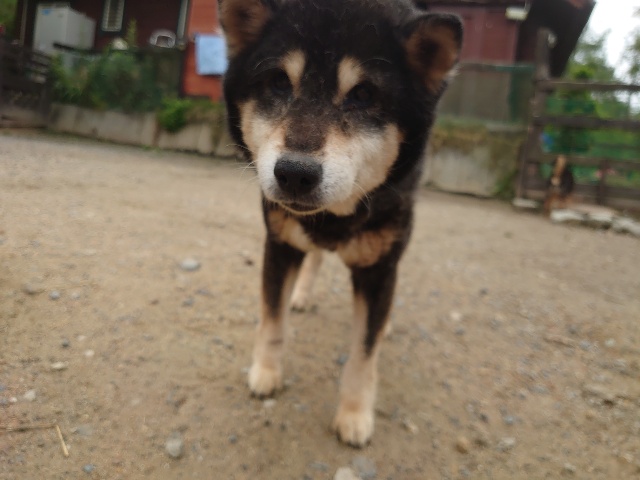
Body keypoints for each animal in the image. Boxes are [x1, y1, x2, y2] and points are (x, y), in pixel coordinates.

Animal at [219, 0, 462, 447]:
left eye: (363, 94)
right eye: (278, 83)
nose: (295, 174)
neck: (335, 216)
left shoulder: (379, 268)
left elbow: (364, 353)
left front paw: (354, 413)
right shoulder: (280, 244)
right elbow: (271, 319)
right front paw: (266, 372)